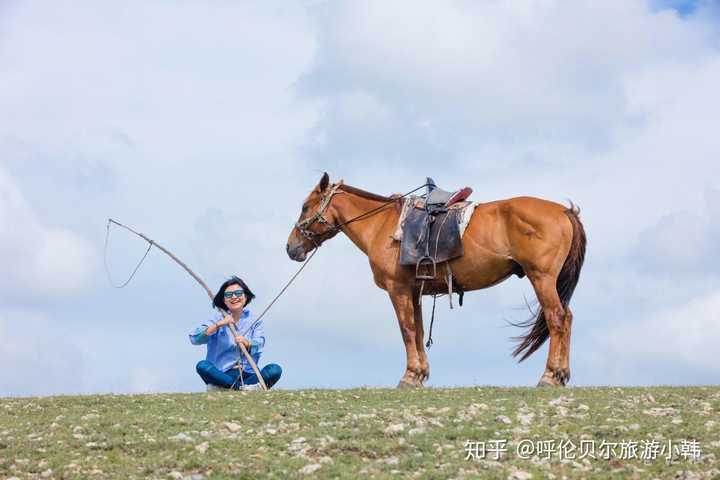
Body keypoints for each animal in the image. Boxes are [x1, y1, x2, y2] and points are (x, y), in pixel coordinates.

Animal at [286, 172, 584, 386]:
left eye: (305, 207)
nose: (291, 247)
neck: (382, 225)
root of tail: (565, 211)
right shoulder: (415, 292)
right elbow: (417, 330)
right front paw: (419, 374)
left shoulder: (398, 290)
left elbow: (406, 330)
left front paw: (409, 376)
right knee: (567, 318)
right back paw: (562, 374)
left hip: (541, 278)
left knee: (556, 318)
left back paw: (549, 375)